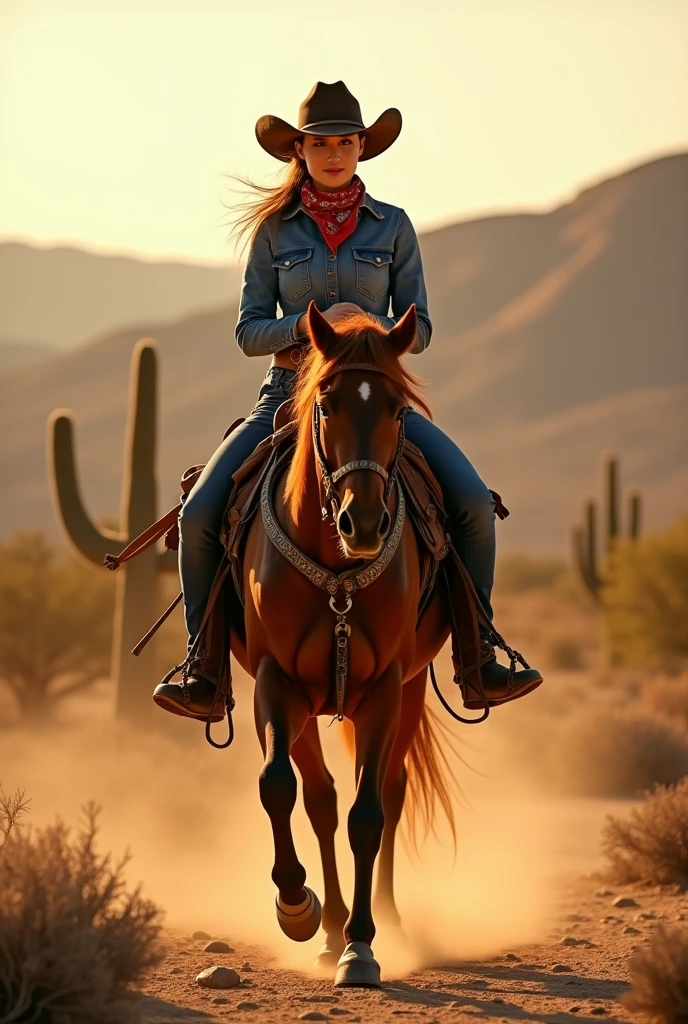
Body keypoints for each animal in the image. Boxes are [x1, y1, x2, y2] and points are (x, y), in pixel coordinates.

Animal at [228, 301, 458, 983]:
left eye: (398, 410)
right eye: (326, 406)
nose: (365, 523)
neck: (335, 566)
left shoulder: (383, 690)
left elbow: (368, 814)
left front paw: (363, 945)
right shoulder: (276, 682)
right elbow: (280, 786)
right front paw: (297, 907)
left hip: (410, 690)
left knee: (389, 792)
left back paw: (385, 920)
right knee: (321, 799)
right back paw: (326, 925)